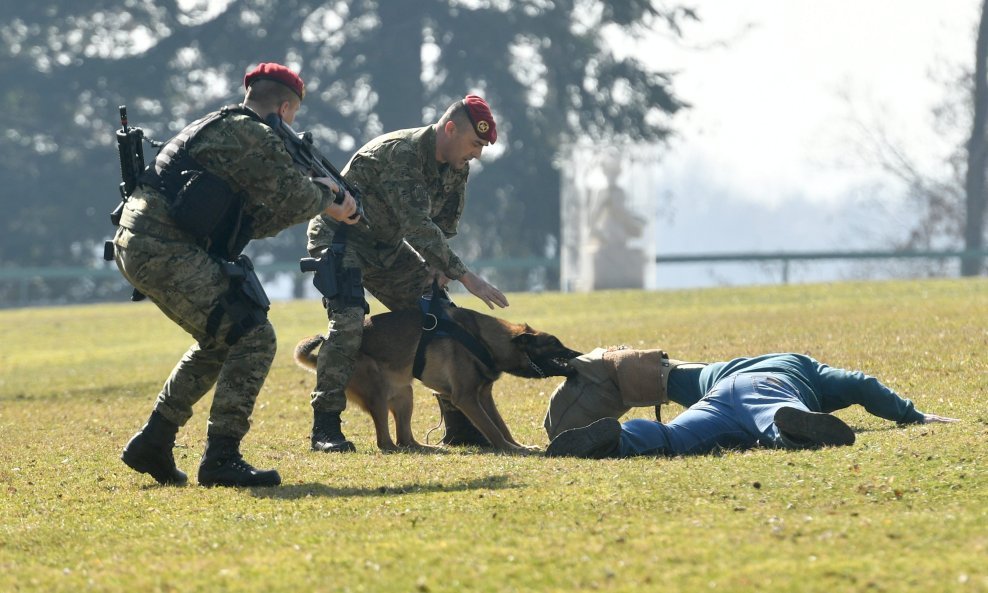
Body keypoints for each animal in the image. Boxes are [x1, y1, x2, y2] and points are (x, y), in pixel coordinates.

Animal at [298, 308, 584, 450]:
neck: (484, 339)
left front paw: (518, 445)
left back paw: (430, 449)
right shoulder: (466, 398)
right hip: (377, 393)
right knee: (386, 442)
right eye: (554, 343)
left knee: (405, 439)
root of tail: (324, 352)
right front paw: (512, 449)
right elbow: (492, 429)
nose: (579, 354)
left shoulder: (483, 396)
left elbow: (501, 426)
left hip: (405, 396)